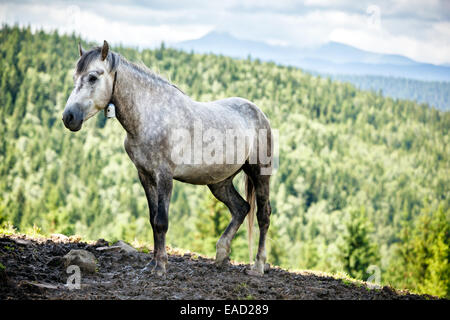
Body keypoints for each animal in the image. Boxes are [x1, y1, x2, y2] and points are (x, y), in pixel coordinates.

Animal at [62, 39, 274, 276]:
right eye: (75, 77)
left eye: (92, 77)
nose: (69, 117)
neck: (149, 117)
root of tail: (259, 113)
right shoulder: (145, 175)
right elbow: (153, 220)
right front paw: (152, 264)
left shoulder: (164, 175)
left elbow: (162, 221)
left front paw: (161, 267)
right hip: (219, 182)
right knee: (241, 208)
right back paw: (220, 256)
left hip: (259, 172)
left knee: (263, 215)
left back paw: (258, 266)